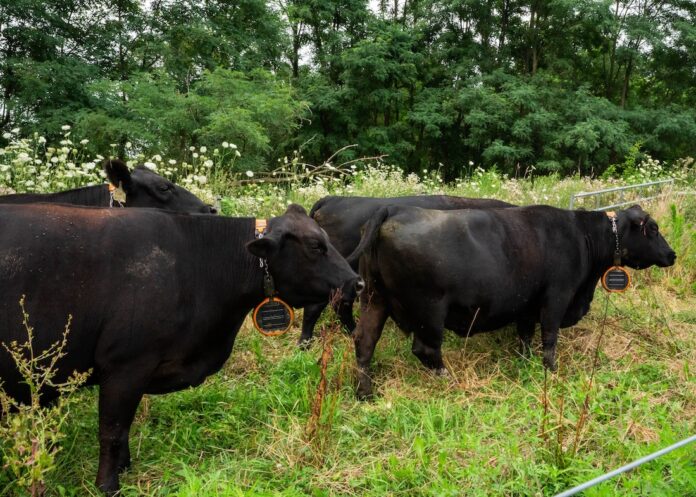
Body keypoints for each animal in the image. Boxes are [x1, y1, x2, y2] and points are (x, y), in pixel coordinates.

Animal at [0, 203, 362, 493]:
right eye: (316, 246)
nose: (357, 282)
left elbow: (123, 428)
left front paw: (123, 467)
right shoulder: (125, 366)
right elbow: (112, 430)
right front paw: (107, 485)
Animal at [348, 204, 676, 399]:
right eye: (654, 229)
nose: (672, 254)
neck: (582, 236)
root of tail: (392, 210)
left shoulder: (527, 305)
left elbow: (525, 336)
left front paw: (525, 361)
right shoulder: (556, 297)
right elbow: (549, 337)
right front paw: (551, 370)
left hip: (374, 299)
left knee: (364, 342)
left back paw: (366, 393)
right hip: (429, 310)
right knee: (425, 349)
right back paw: (448, 379)